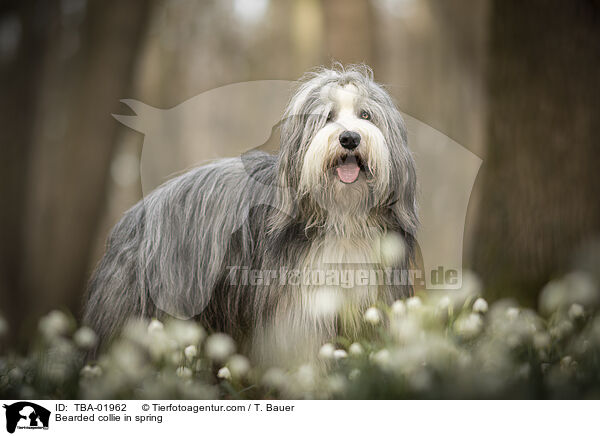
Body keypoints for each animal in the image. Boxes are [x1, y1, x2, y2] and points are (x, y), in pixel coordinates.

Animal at [84, 64, 418, 364]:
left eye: (366, 115)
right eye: (327, 117)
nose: (350, 138)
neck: (342, 216)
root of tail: (133, 217)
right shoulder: (299, 312)